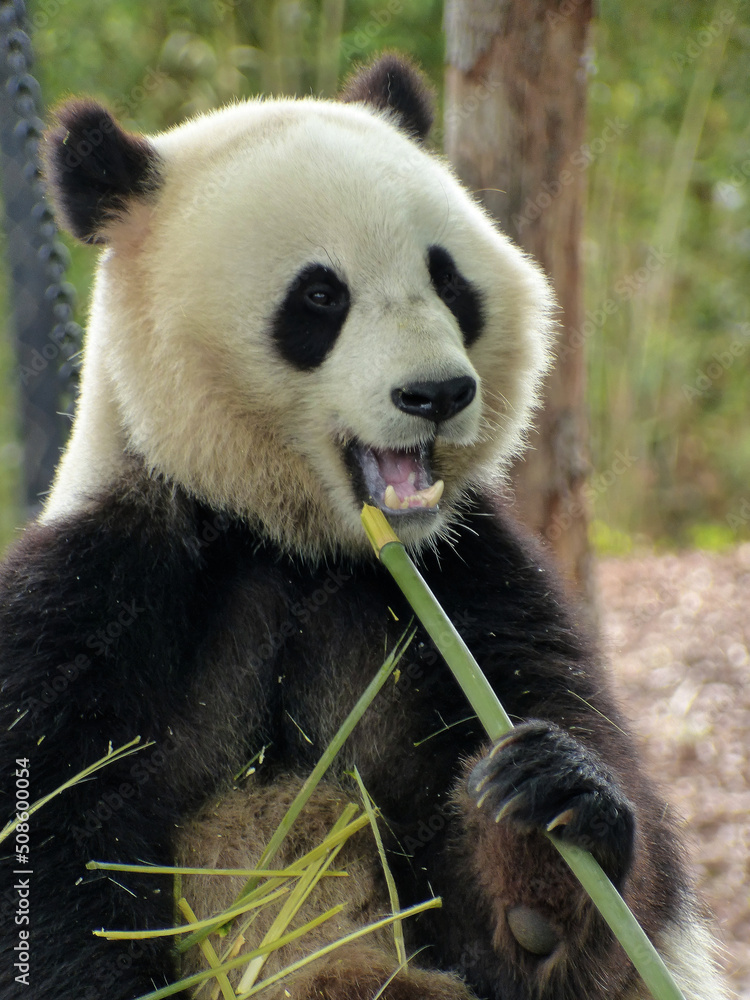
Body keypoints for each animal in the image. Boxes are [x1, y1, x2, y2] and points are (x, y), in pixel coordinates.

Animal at [0, 55, 728, 1000]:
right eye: (320, 296)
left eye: (449, 281)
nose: (437, 393)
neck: (295, 545)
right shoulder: (100, 593)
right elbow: (57, 856)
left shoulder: (472, 589)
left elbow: (579, 925)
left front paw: (544, 825)